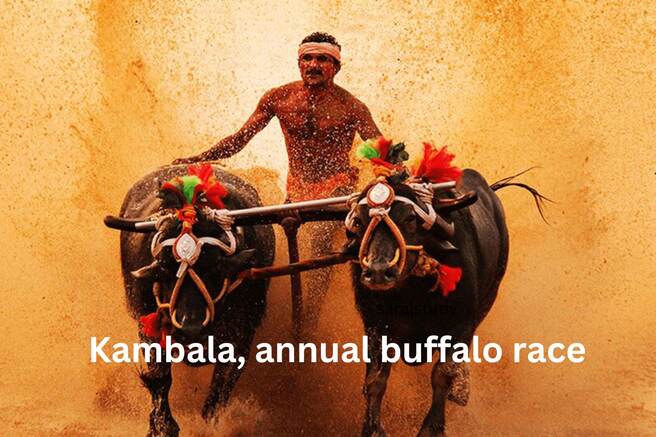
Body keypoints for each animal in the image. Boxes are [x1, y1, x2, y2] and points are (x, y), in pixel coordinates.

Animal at [116, 164, 272, 436]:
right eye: (165, 269)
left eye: (216, 267)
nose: (191, 329)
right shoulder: (147, 323)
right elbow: (160, 377)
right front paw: (162, 425)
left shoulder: (243, 334)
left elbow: (221, 387)